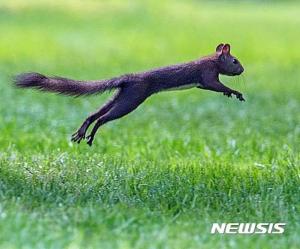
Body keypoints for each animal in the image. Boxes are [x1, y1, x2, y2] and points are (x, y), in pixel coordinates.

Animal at [14, 42, 244, 146]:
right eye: (235, 61)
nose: (242, 70)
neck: (211, 59)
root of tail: (127, 78)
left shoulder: (204, 81)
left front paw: (231, 94)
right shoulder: (207, 74)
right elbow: (215, 85)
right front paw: (236, 92)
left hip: (120, 96)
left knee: (94, 114)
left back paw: (81, 133)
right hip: (132, 98)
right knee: (103, 118)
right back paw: (90, 137)